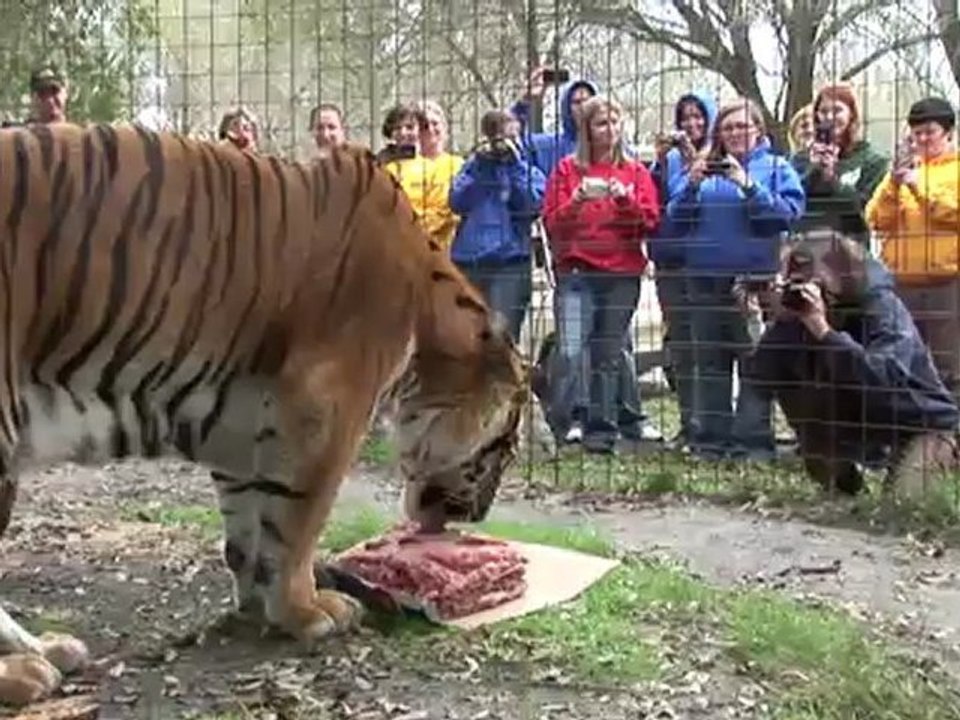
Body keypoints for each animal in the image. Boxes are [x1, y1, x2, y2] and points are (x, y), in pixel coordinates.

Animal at [0, 122, 528, 707]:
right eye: (502, 451)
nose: (479, 516)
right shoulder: (326, 407)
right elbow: (299, 523)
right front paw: (307, 611)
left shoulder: (238, 425)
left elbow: (249, 527)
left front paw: (259, 607)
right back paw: (23, 673)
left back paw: (47, 651)